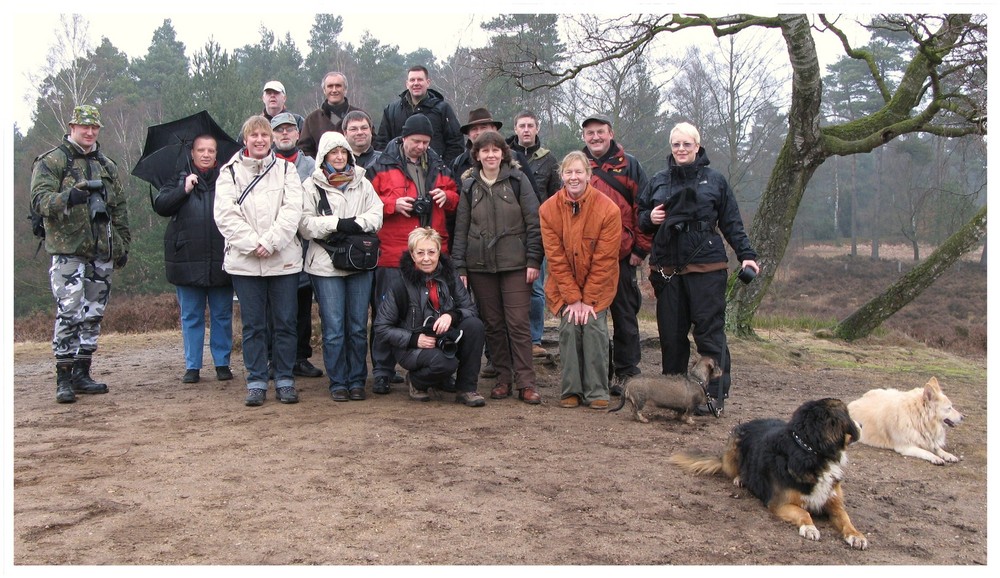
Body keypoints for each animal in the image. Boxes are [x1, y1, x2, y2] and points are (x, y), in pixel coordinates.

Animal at [672, 396, 868, 548]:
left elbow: (846, 518)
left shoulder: (834, 502)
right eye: (848, 415)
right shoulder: (779, 503)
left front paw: (856, 535)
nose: (862, 425)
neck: (810, 451)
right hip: (734, 444)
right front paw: (810, 528)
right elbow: (804, 513)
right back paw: (740, 479)